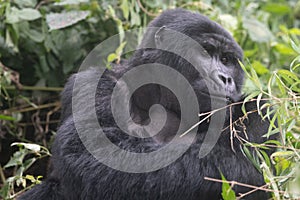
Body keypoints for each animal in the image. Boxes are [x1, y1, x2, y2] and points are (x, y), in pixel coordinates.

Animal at [19, 8, 274, 199]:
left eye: (226, 60)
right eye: (206, 51)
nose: (226, 78)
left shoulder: (259, 107)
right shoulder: (91, 83)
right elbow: (93, 154)